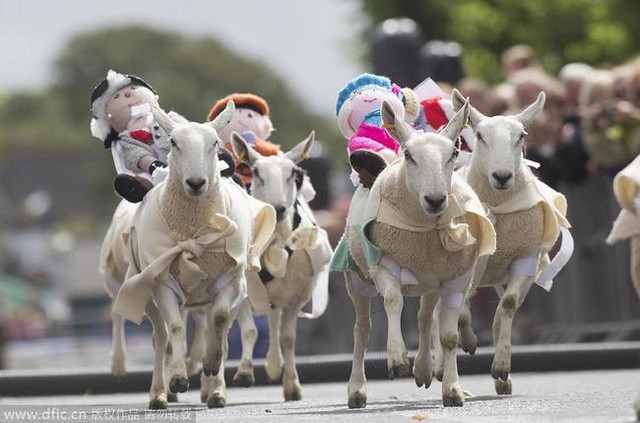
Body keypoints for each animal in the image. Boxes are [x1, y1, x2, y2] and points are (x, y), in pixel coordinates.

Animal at [109, 101, 278, 410]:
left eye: (215, 144)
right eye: (174, 143)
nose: (197, 183)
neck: (195, 230)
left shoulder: (230, 280)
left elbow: (220, 323)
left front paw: (212, 369)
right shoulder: (162, 281)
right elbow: (175, 329)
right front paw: (178, 380)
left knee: (217, 332)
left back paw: (216, 391)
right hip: (146, 291)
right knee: (161, 339)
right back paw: (159, 394)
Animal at [228, 131, 332, 402]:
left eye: (294, 173)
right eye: (256, 172)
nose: (278, 208)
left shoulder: (296, 297)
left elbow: (288, 338)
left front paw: (292, 386)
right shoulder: (240, 293)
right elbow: (249, 331)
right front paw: (244, 374)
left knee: (273, 321)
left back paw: (274, 366)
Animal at [332, 97, 498, 410]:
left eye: (454, 152)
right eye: (409, 155)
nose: (435, 200)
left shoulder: (455, 279)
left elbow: (448, 336)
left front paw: (452, 390)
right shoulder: (383, 266)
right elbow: (393, 301)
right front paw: (396, 358)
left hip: (430, 282)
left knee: (423, 317)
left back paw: (423, 370)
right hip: (356, 280)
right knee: (362, 330)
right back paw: (357, 390)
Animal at [450, 88, 576, 398]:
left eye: (521, 136)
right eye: (480, 135)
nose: (502, 176)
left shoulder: (526, 259)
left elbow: (506, 307)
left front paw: (501, 368)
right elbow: (461, 309)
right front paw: (469, 341)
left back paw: (501, 378)